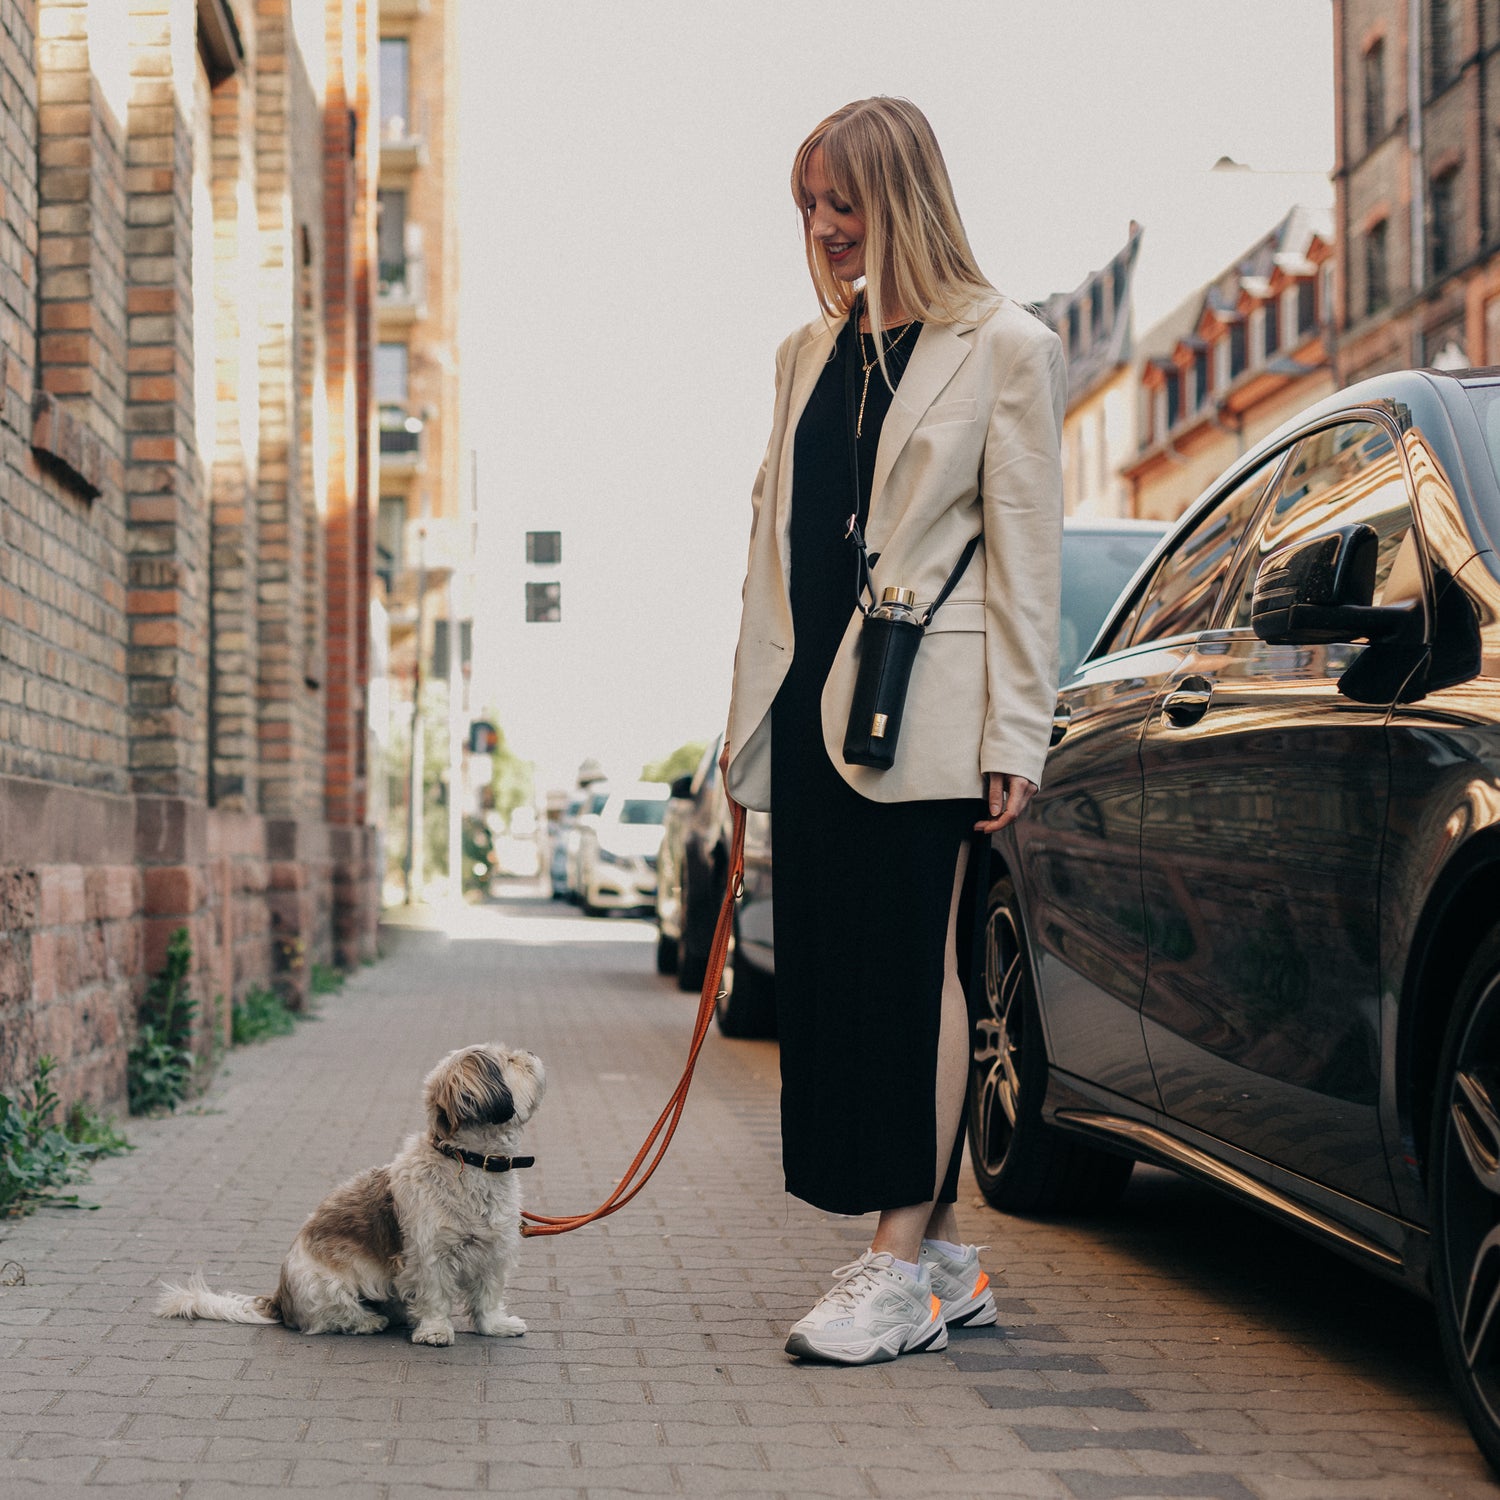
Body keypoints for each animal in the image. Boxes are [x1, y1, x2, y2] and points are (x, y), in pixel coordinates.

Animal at [152, 1044, 549, 1350]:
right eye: (510, 1061)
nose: (530, 1053)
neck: (469, 1162)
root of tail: (279, 1298)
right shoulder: (429, 1256)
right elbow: (435, 1295)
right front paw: (436, 1330)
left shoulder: (494, 1251)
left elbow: (488, 1296)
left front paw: (494, 1326)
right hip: (327, 1285)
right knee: (333, 1317)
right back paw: (370, 1321)